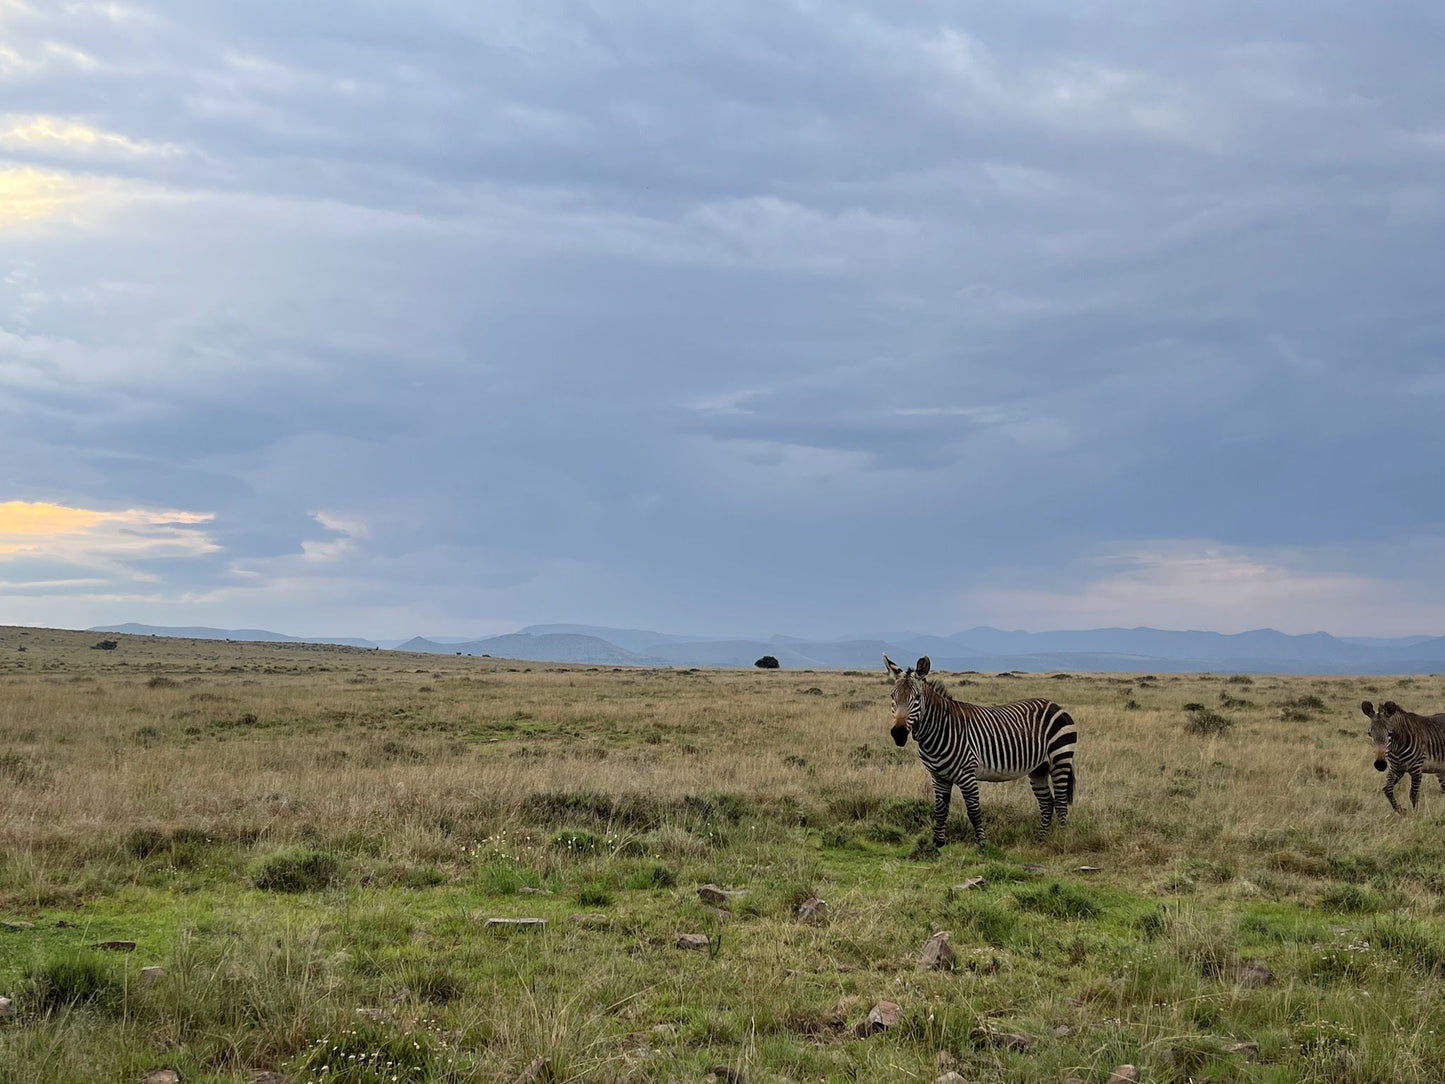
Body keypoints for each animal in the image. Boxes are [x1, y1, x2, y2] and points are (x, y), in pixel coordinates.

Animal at [878, 653, 1075, 849]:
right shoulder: (938, 776)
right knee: (1047, 803)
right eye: (892, 696)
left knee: (1060, 802)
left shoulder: (967, 774)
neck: (940, 729)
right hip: (1038, 768)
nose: (898, 734)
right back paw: (1042, 840)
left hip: (1060, 759)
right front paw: (937, 844)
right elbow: (940, 810)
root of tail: (1054, 704)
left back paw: (1062, 838)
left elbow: (973, 811)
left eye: (917, 697)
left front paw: (982, 844)